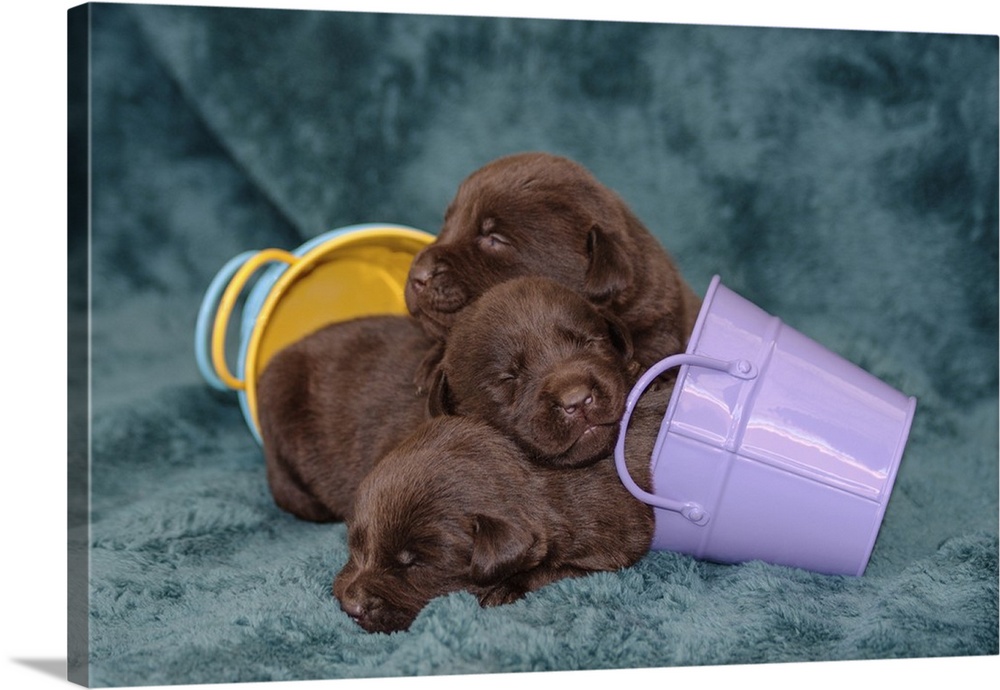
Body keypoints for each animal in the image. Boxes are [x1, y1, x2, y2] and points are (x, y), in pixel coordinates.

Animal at [332, 384, 668, 632]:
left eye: (414, 564)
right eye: (357, 545)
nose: (351, 607)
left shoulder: (611, 543)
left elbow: (554, 570)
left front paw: (503, 589)